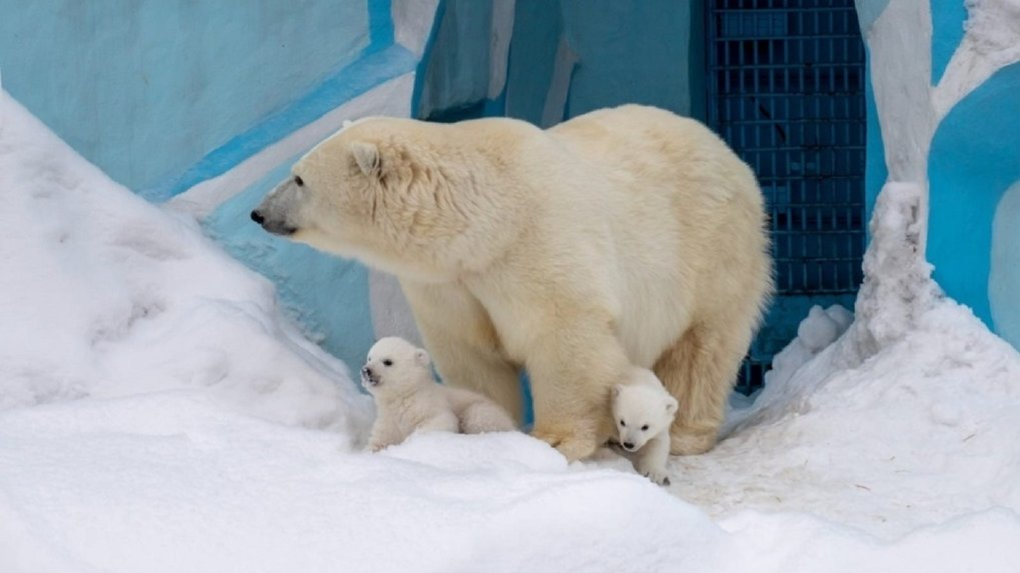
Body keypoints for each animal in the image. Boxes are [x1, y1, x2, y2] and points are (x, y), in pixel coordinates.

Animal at [361, 334, 518, 450]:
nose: (366, 370)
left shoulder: (428, 405)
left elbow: (442, 421)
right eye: (370, 357)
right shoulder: (388, 420)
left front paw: (411, 440)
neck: (406, 395)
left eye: (388, 361)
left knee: (476, 417)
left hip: (486, 411)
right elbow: (380, 439)